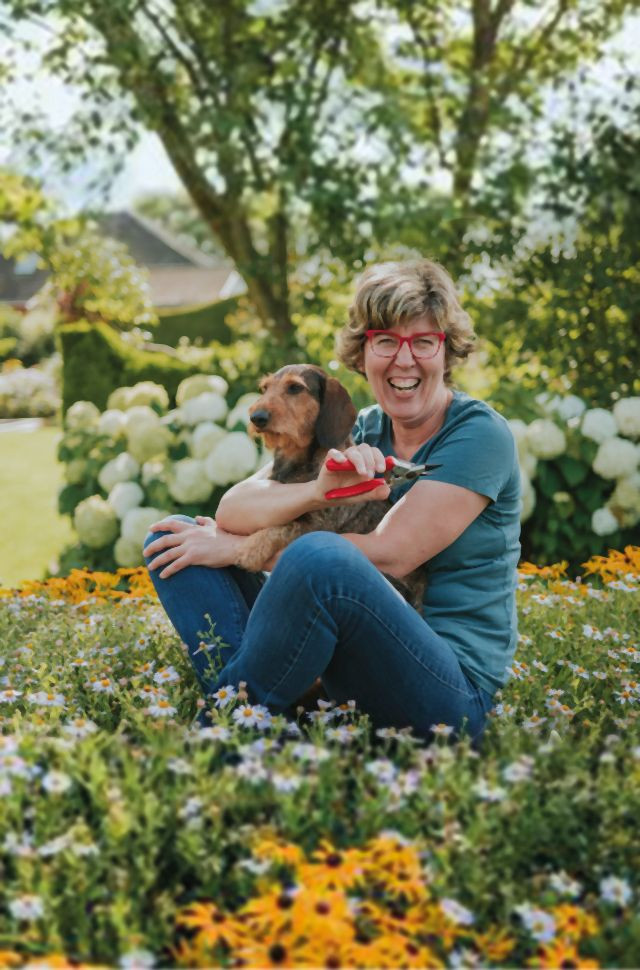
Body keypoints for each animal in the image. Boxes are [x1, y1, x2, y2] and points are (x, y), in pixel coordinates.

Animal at [233, 364, 427, 612]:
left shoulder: (319, 524)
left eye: (294, 387)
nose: (256, 417)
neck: (298, 461)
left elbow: (285, 526)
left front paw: (250, 550)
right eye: (264, 388)